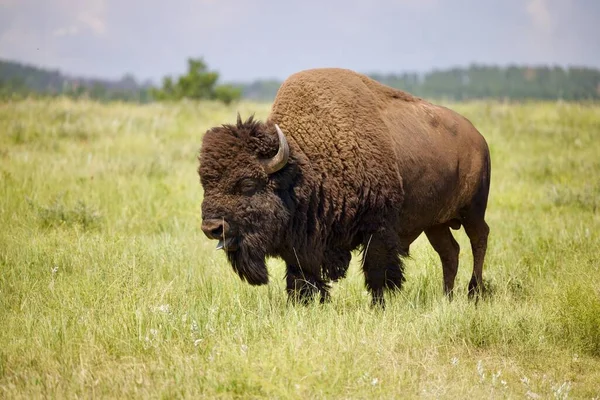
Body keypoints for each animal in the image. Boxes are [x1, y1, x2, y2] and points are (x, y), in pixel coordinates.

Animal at [199, 69, 490, 306]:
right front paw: (303, 304)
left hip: (473, 210)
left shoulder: (377, 228)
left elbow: (377, 271)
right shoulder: (303, 243)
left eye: (248, 183)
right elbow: (301, 277)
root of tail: (478, 137)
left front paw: (378, 306)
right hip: (435, 223)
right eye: (204, 182)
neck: (303, 167)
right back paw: (447, 297)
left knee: (479, 239)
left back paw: (473, 293)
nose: (212, 228)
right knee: (450, 252)